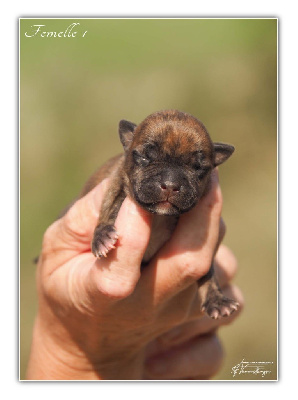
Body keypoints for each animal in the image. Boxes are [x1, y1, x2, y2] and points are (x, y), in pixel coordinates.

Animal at [81, 111, 240, 320]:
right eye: (144, 157)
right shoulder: (117, 181)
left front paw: (216, 299)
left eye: (198, 168)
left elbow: (208, 271)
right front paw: (101, 235)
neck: (160, 217)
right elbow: (109, 204)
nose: (170, 184)